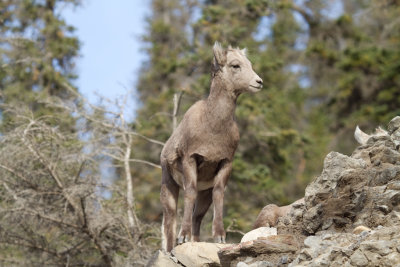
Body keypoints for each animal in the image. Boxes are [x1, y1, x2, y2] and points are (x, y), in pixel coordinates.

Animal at [159, 43, 262, 252]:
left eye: (249, 64)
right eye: (235, 65)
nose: (259, 82)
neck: (213, 126)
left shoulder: (225, 163)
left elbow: (219, 194)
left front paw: (220, 237)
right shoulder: (190, 159)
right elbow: (189, 192)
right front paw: (183, 236)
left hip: (204, 193)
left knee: (197, 217)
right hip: (169, 185)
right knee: (170, 219)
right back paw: (173, 247)